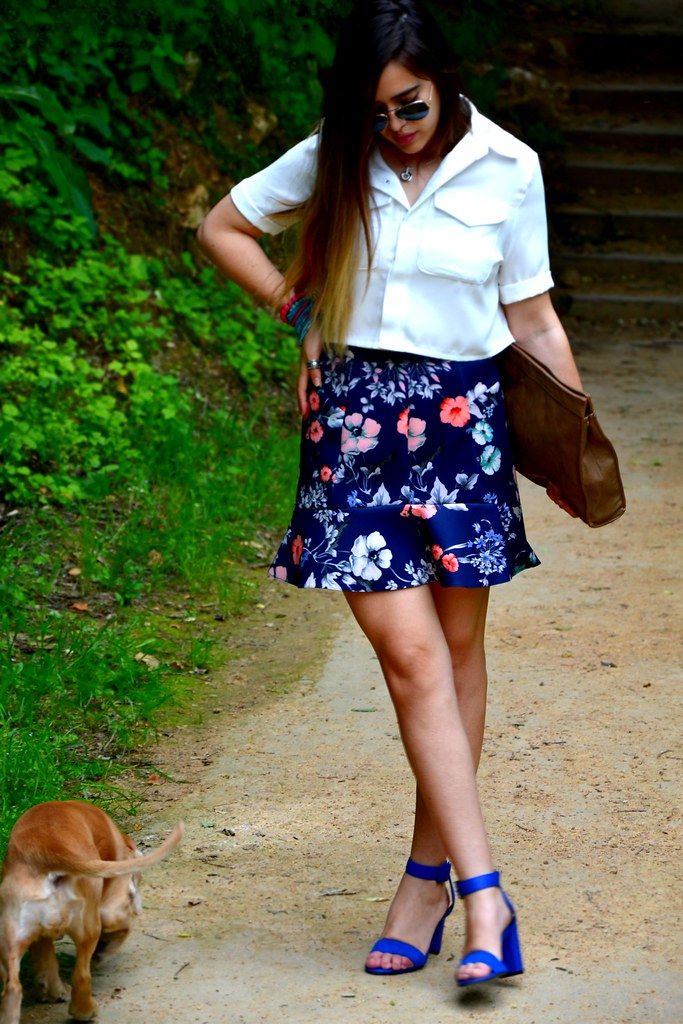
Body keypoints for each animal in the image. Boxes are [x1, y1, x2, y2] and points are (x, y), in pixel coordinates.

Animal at [0, 800, 183, 1023]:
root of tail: (48, 851)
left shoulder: (40, 938)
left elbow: (47, 961)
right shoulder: (112, 905)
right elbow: (118, 926)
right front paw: (105, 949)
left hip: (10, 938)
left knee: (13, 987)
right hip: (87, 926)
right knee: (81, 975)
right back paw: (85, 1011)